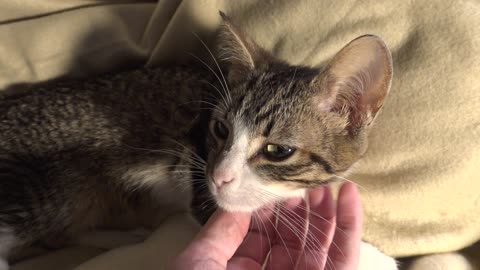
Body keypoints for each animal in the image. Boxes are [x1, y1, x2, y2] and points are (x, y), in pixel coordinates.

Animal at [0, 12, 396, 268]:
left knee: (58, 234)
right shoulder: (200, 187)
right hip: (39, 188)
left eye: (277, 150)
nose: (219, 176)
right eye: (220, 129)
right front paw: (372, 255)